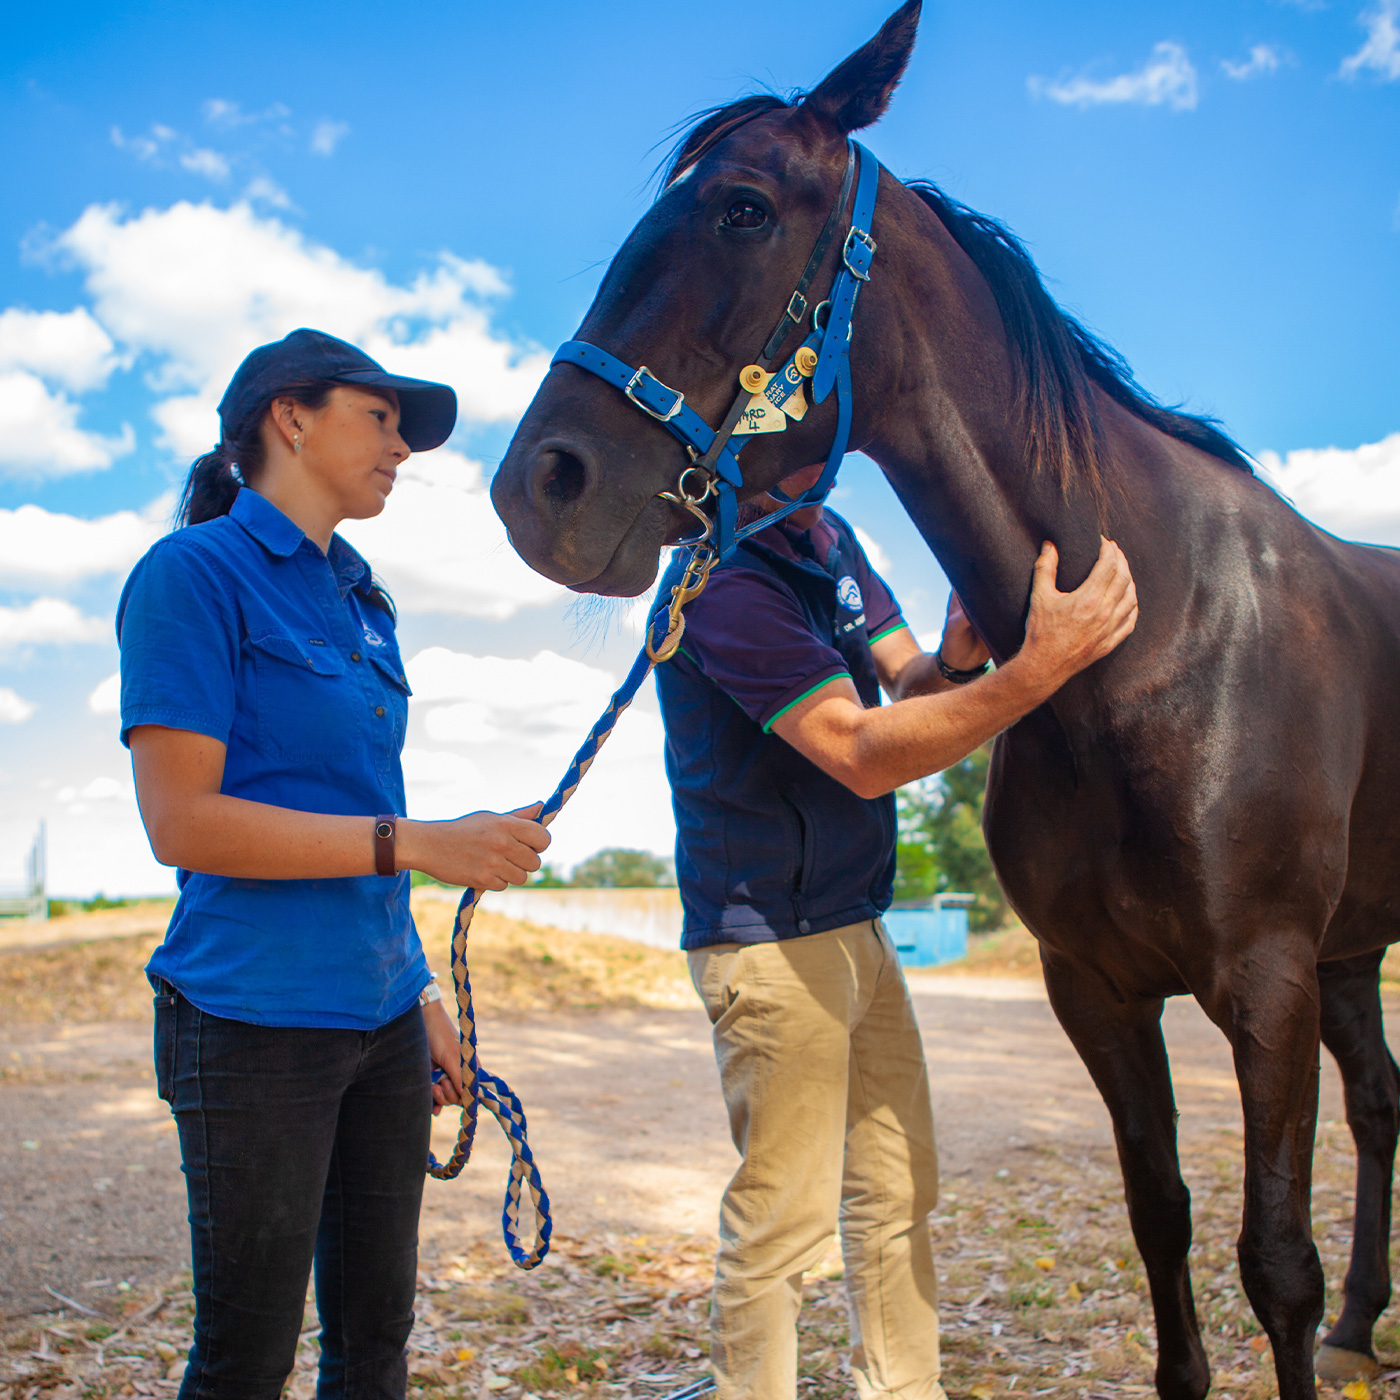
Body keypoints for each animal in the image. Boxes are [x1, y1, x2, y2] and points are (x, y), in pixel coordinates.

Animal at [490, 5, 1400, 1394]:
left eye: (742, 208)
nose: (538, 485)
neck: (1161, 640)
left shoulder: (1266, 981)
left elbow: (1272, 1261)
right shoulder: (1098, 988)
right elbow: (1161, 1217)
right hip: (1354, 952)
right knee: (1382, 1102)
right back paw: (1362, 1324)